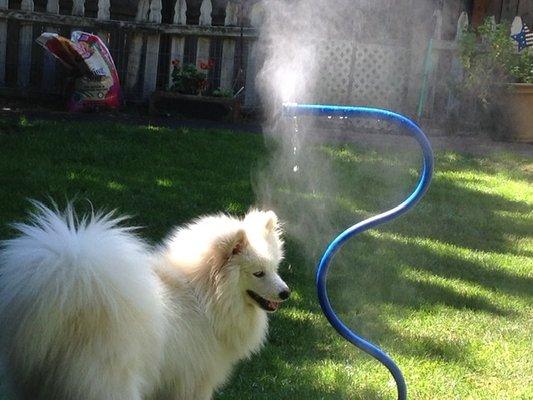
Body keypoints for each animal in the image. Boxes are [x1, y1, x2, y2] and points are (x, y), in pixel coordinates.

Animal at [0, 203, 288, 400]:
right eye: (258, 273)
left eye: (275, 268)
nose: (286, 292)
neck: (201, 295)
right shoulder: (193, 381)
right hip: (111, 381)